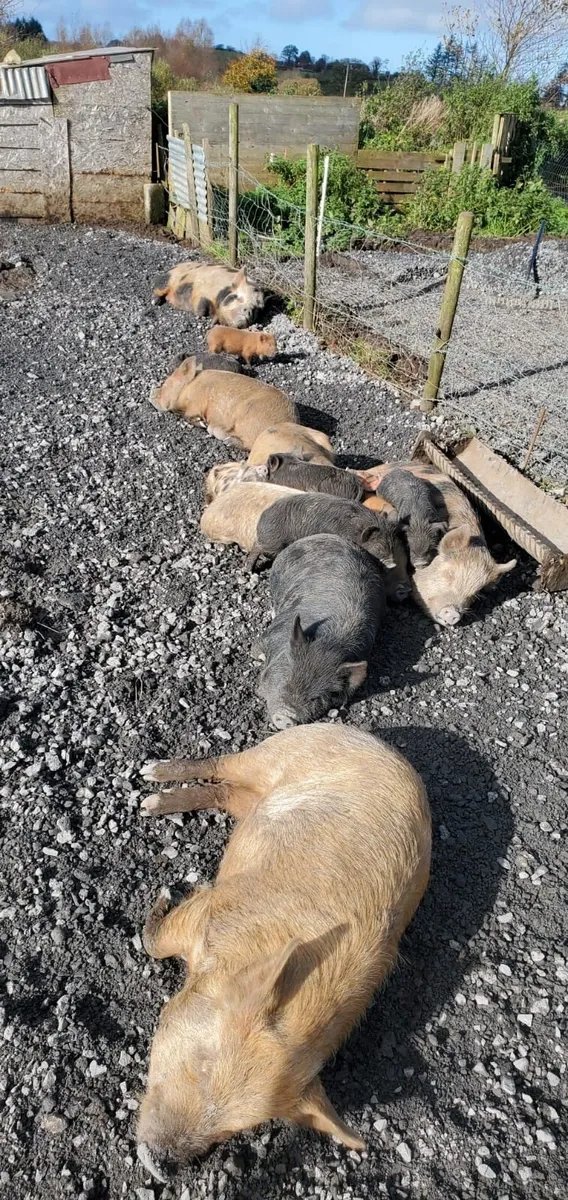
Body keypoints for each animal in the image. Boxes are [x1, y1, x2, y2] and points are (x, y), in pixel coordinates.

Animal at [137, 722, 431, 1168]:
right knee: (225, 763)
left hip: (258, 797)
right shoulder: (209, 911)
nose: (160, 1163)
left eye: (241, 1126)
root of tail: (382, 745)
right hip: (280, 751)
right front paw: (165, 893)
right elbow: (156, 940)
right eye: (202, 1066)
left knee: (228, 794)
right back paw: (149, 786)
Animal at [150, 357, 297, 451]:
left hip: (248, 413)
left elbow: (191, 415)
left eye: (166, 383)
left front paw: (203, 424)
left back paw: (223, 437)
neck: (190, 387)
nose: (152, 392)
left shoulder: (197, 403)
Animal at [247, 493, 411, 601]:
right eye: (382, 563)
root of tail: (263, 516)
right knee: (257, 547)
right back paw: (250, 570)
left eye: (402, 555)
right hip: (273, 545)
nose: (406, 589)